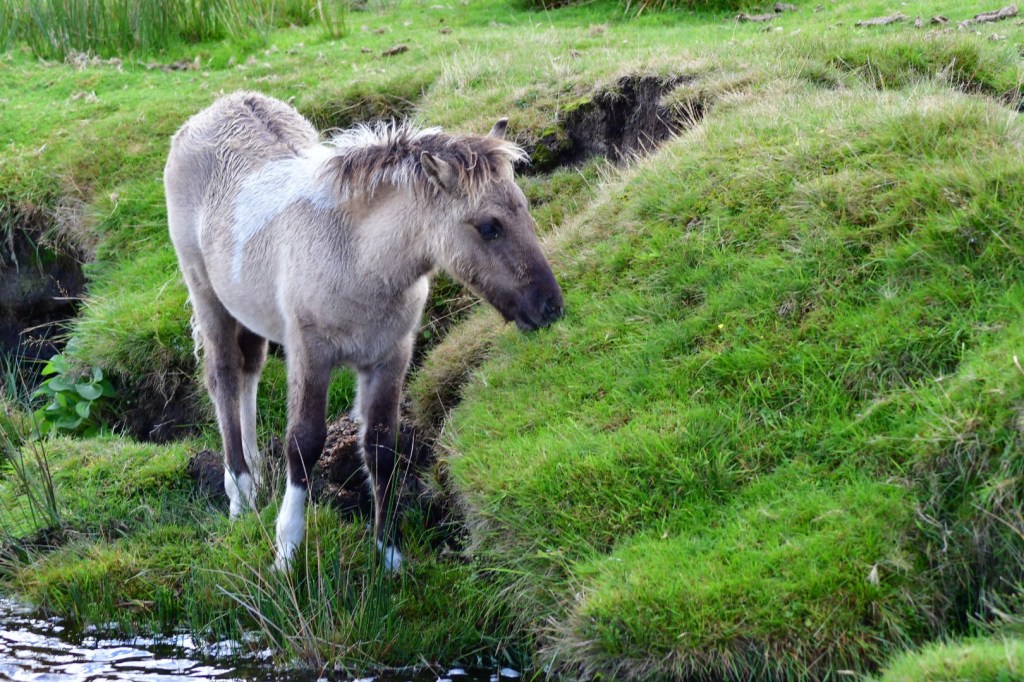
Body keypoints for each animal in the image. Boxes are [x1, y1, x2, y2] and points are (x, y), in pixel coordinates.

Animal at [164, 92, 563, 571]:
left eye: (523, 208)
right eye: (489, 226)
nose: (550, 307)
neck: (359, 259)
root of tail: (215, 110)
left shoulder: (390, 356)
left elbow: (381, 446)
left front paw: (388, 554)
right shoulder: (310, 352)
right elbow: (304, 441)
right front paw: (287, 550)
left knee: (249, 371)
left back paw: (256, 474)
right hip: (206, 294)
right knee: (224, 376)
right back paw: (240, 493)